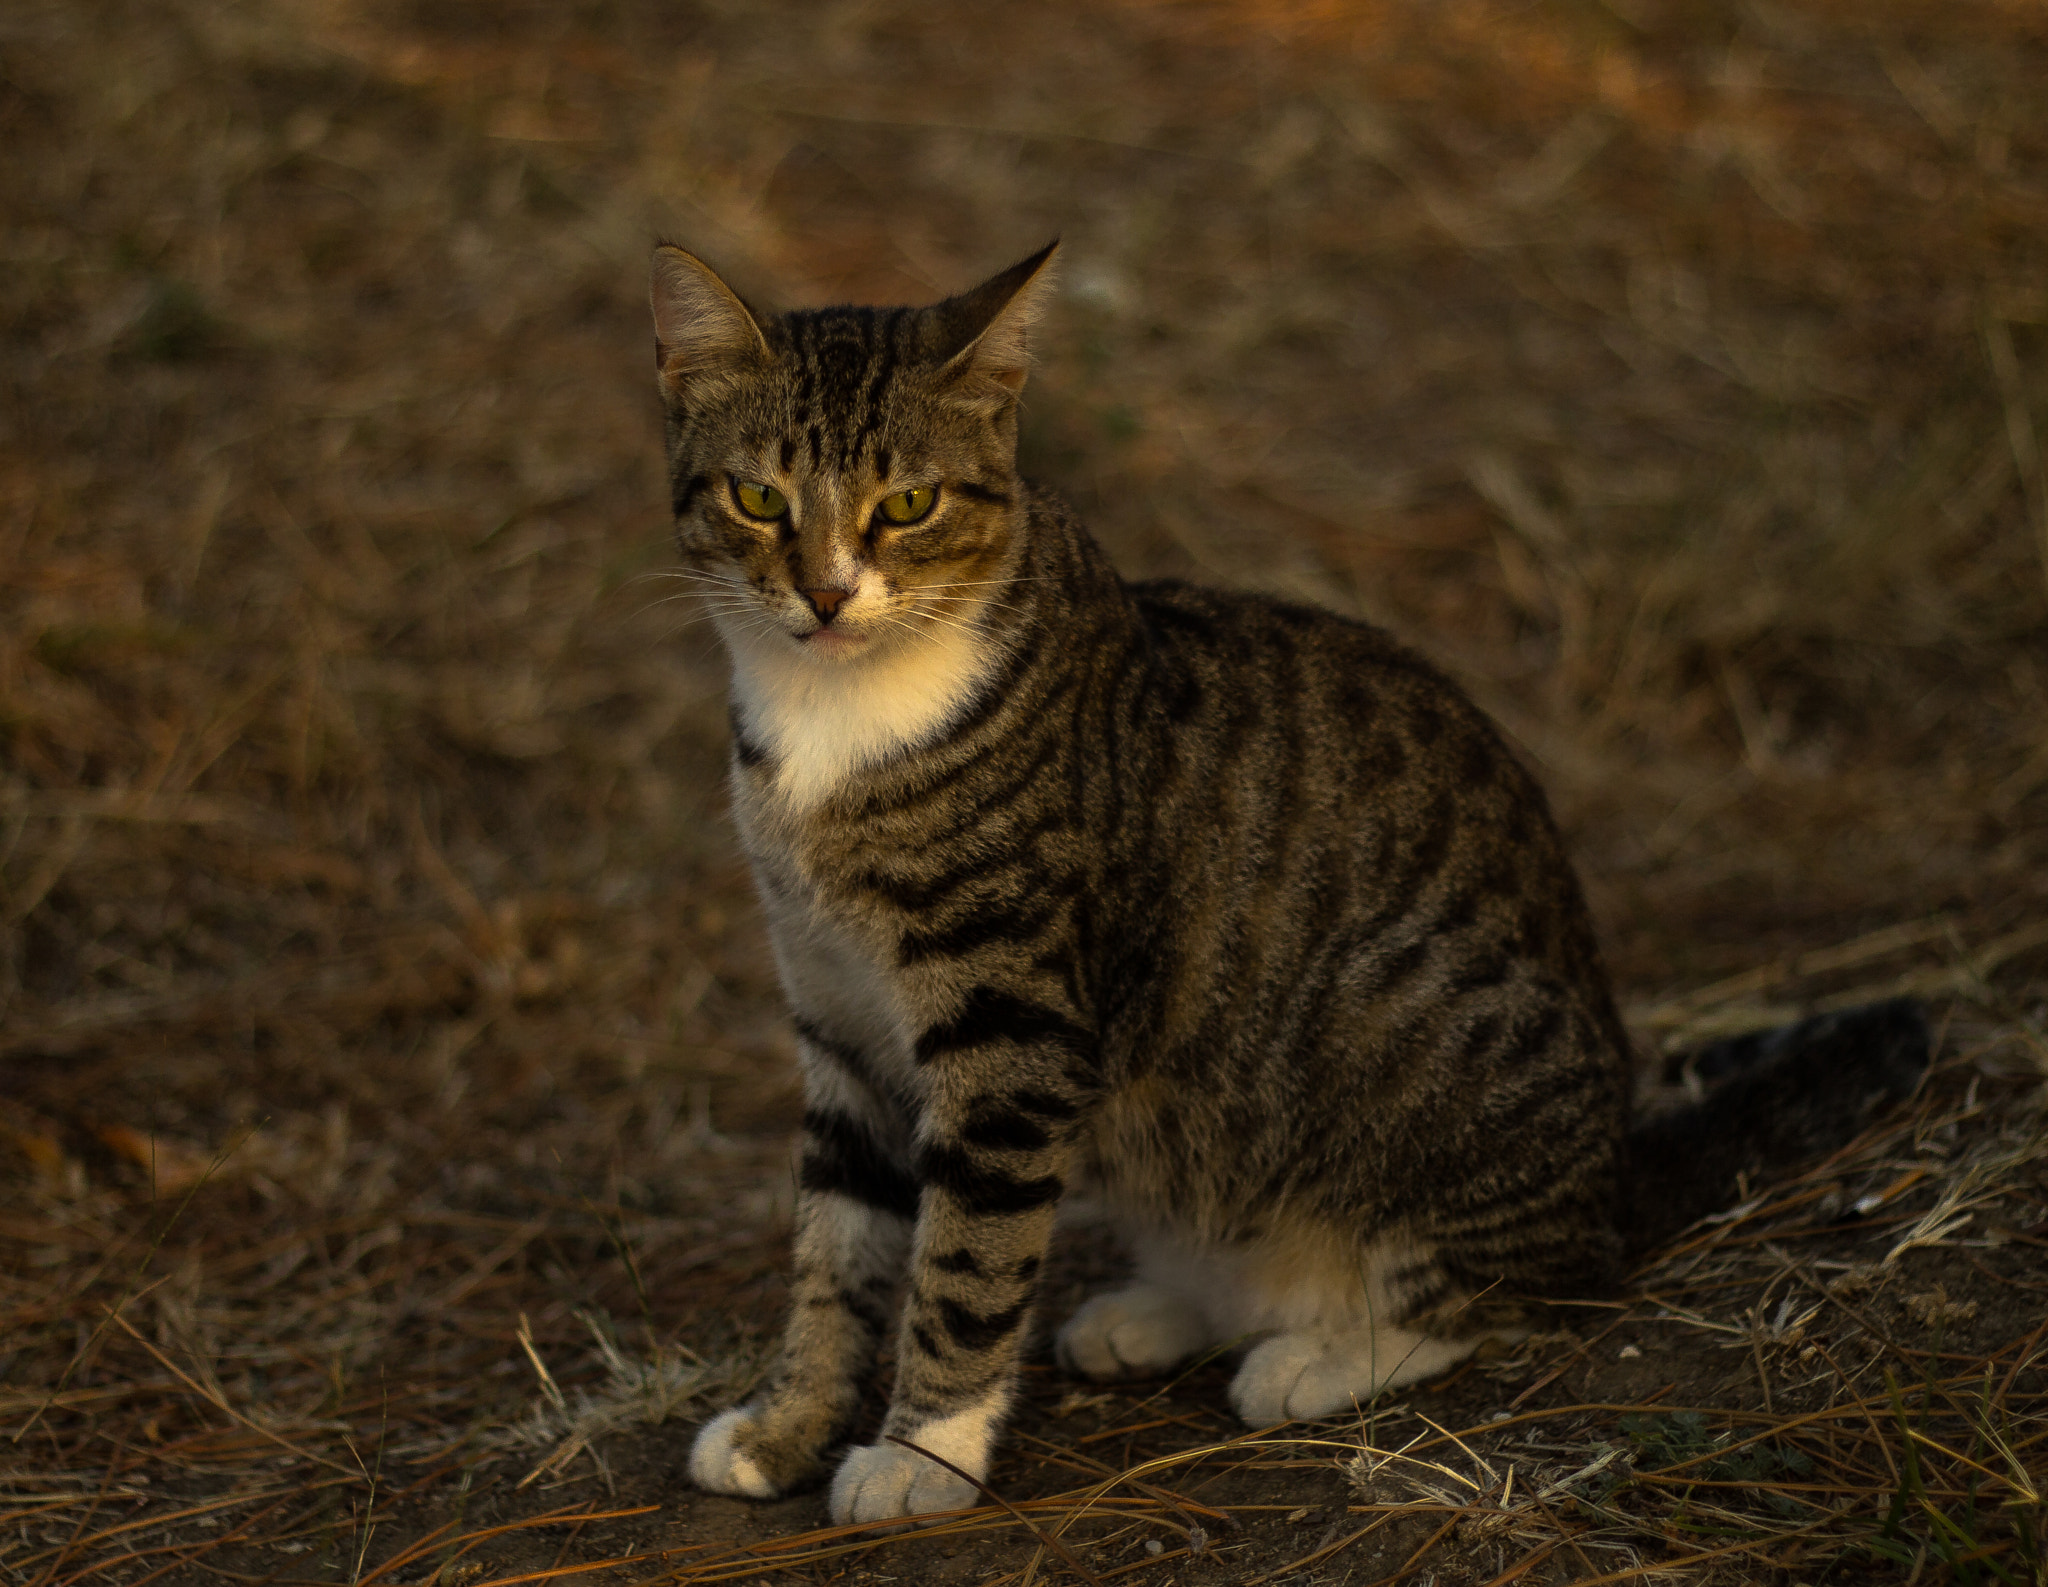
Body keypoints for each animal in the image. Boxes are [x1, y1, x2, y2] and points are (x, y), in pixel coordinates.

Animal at [647, 244, 1925, 1523]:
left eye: (907, 505)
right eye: (759, 499)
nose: (825, 594)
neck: (836, 721)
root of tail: (1616, 1175)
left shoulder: (1011, 1033)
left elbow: (966, 1259)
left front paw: (922, 1455)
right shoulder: (836, 1011)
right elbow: (834, 1250)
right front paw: (786, 1427)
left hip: (1407, 1030)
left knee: (1508, 1291)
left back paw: (1317, 1357)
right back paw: (1163, 1312)